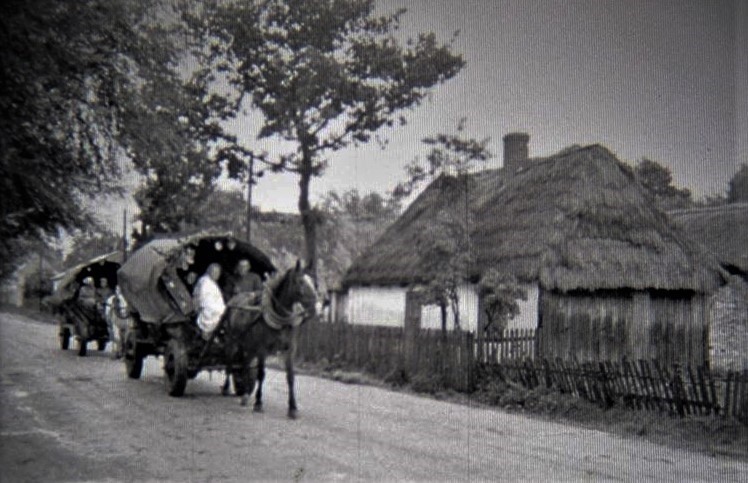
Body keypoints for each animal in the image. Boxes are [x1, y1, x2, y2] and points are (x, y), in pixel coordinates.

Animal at [222, 260, 316, 420]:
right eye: (301, 282)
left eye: (312, 281)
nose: (318, 303)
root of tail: (234, 300)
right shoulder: (262, 349)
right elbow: (261, 374)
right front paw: (258, 403)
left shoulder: (289, 349)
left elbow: (290, 377)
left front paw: (292, 408)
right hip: (233, 341)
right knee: (229, 363)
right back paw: (227, 388)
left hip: (248, 345)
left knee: (245, 363)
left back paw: (245, 393)